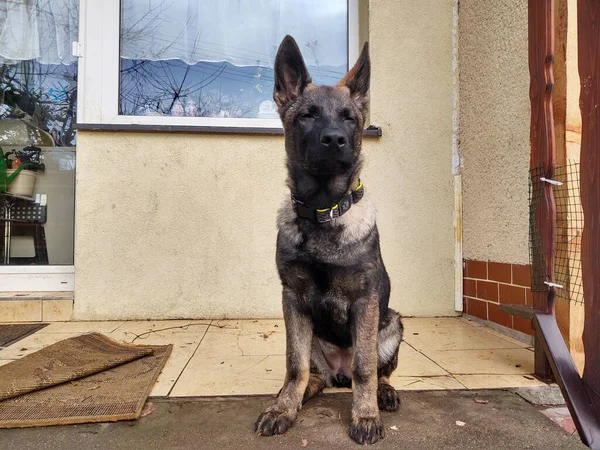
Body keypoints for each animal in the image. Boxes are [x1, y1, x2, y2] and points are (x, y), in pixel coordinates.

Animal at [253, 37, 404, 444]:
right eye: (307, 115)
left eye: (349, 118)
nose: (334, 140)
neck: (324, 210)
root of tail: (339, 373)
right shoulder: (292, 298)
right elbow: (294, 365)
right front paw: (283, 408)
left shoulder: (366, 302)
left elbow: (366, 368)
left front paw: (365, 416)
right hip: (311, 340)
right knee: (311, 373)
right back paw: (300, 392)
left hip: (391, 323)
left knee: (376, 372)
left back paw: (383, 394)